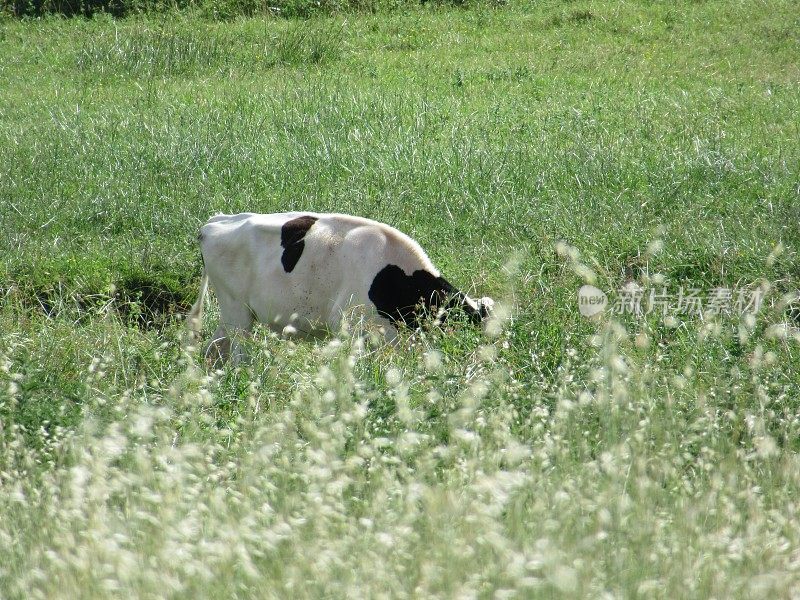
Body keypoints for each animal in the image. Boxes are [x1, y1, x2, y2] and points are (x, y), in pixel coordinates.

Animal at [189, 211, 494, 360]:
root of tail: (215, 221)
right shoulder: (354, 329)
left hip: (232, 316)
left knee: (214, 348)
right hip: (237, 313)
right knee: (235, 353)